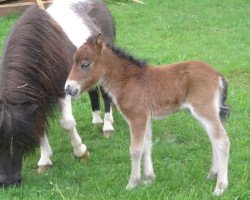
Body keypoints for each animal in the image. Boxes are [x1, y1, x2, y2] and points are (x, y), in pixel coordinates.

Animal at [0, 0, 115, 188]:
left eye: (21, 139)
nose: (8, 182)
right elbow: (39, 126)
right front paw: (45, 161)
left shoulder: (63, 91)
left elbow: (67, 123)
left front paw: (81, 152)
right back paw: (97, 120)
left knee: (105, 93)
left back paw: (107, 125)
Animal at [65, 34, 230, 195]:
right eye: (72, 62)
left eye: (85, 64)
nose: (68, 88)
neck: (127, 80)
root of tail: (218, 75)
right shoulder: (146, 118)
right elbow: (146, 145)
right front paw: (149, 179)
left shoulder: (137, 117)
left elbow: (135, 150)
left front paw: (132, 183)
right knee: (214, 139)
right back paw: (212, 174)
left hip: (204, 109)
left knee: (222, 140)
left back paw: (220, 187)